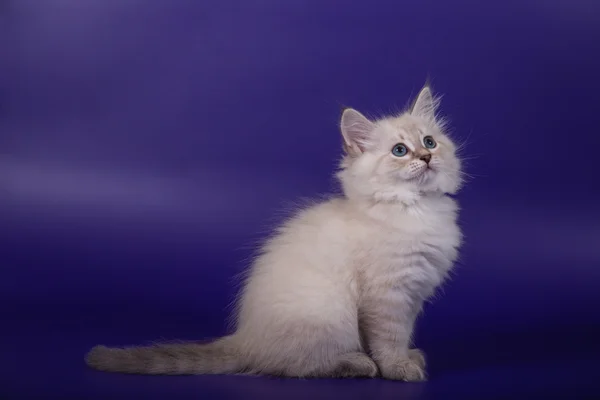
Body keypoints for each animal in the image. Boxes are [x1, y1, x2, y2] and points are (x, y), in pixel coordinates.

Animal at [85, 85, 464, 382]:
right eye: (400, 151)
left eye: (429, 141)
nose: (426, 156)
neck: (415, 208)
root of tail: (244, 337)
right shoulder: (387, 297)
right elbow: (388, 340)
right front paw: (398, 368)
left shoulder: (413, 296)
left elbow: (402, 335)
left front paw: (408, 357)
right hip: (328, 313)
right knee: (294, 366)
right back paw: (356, 364)